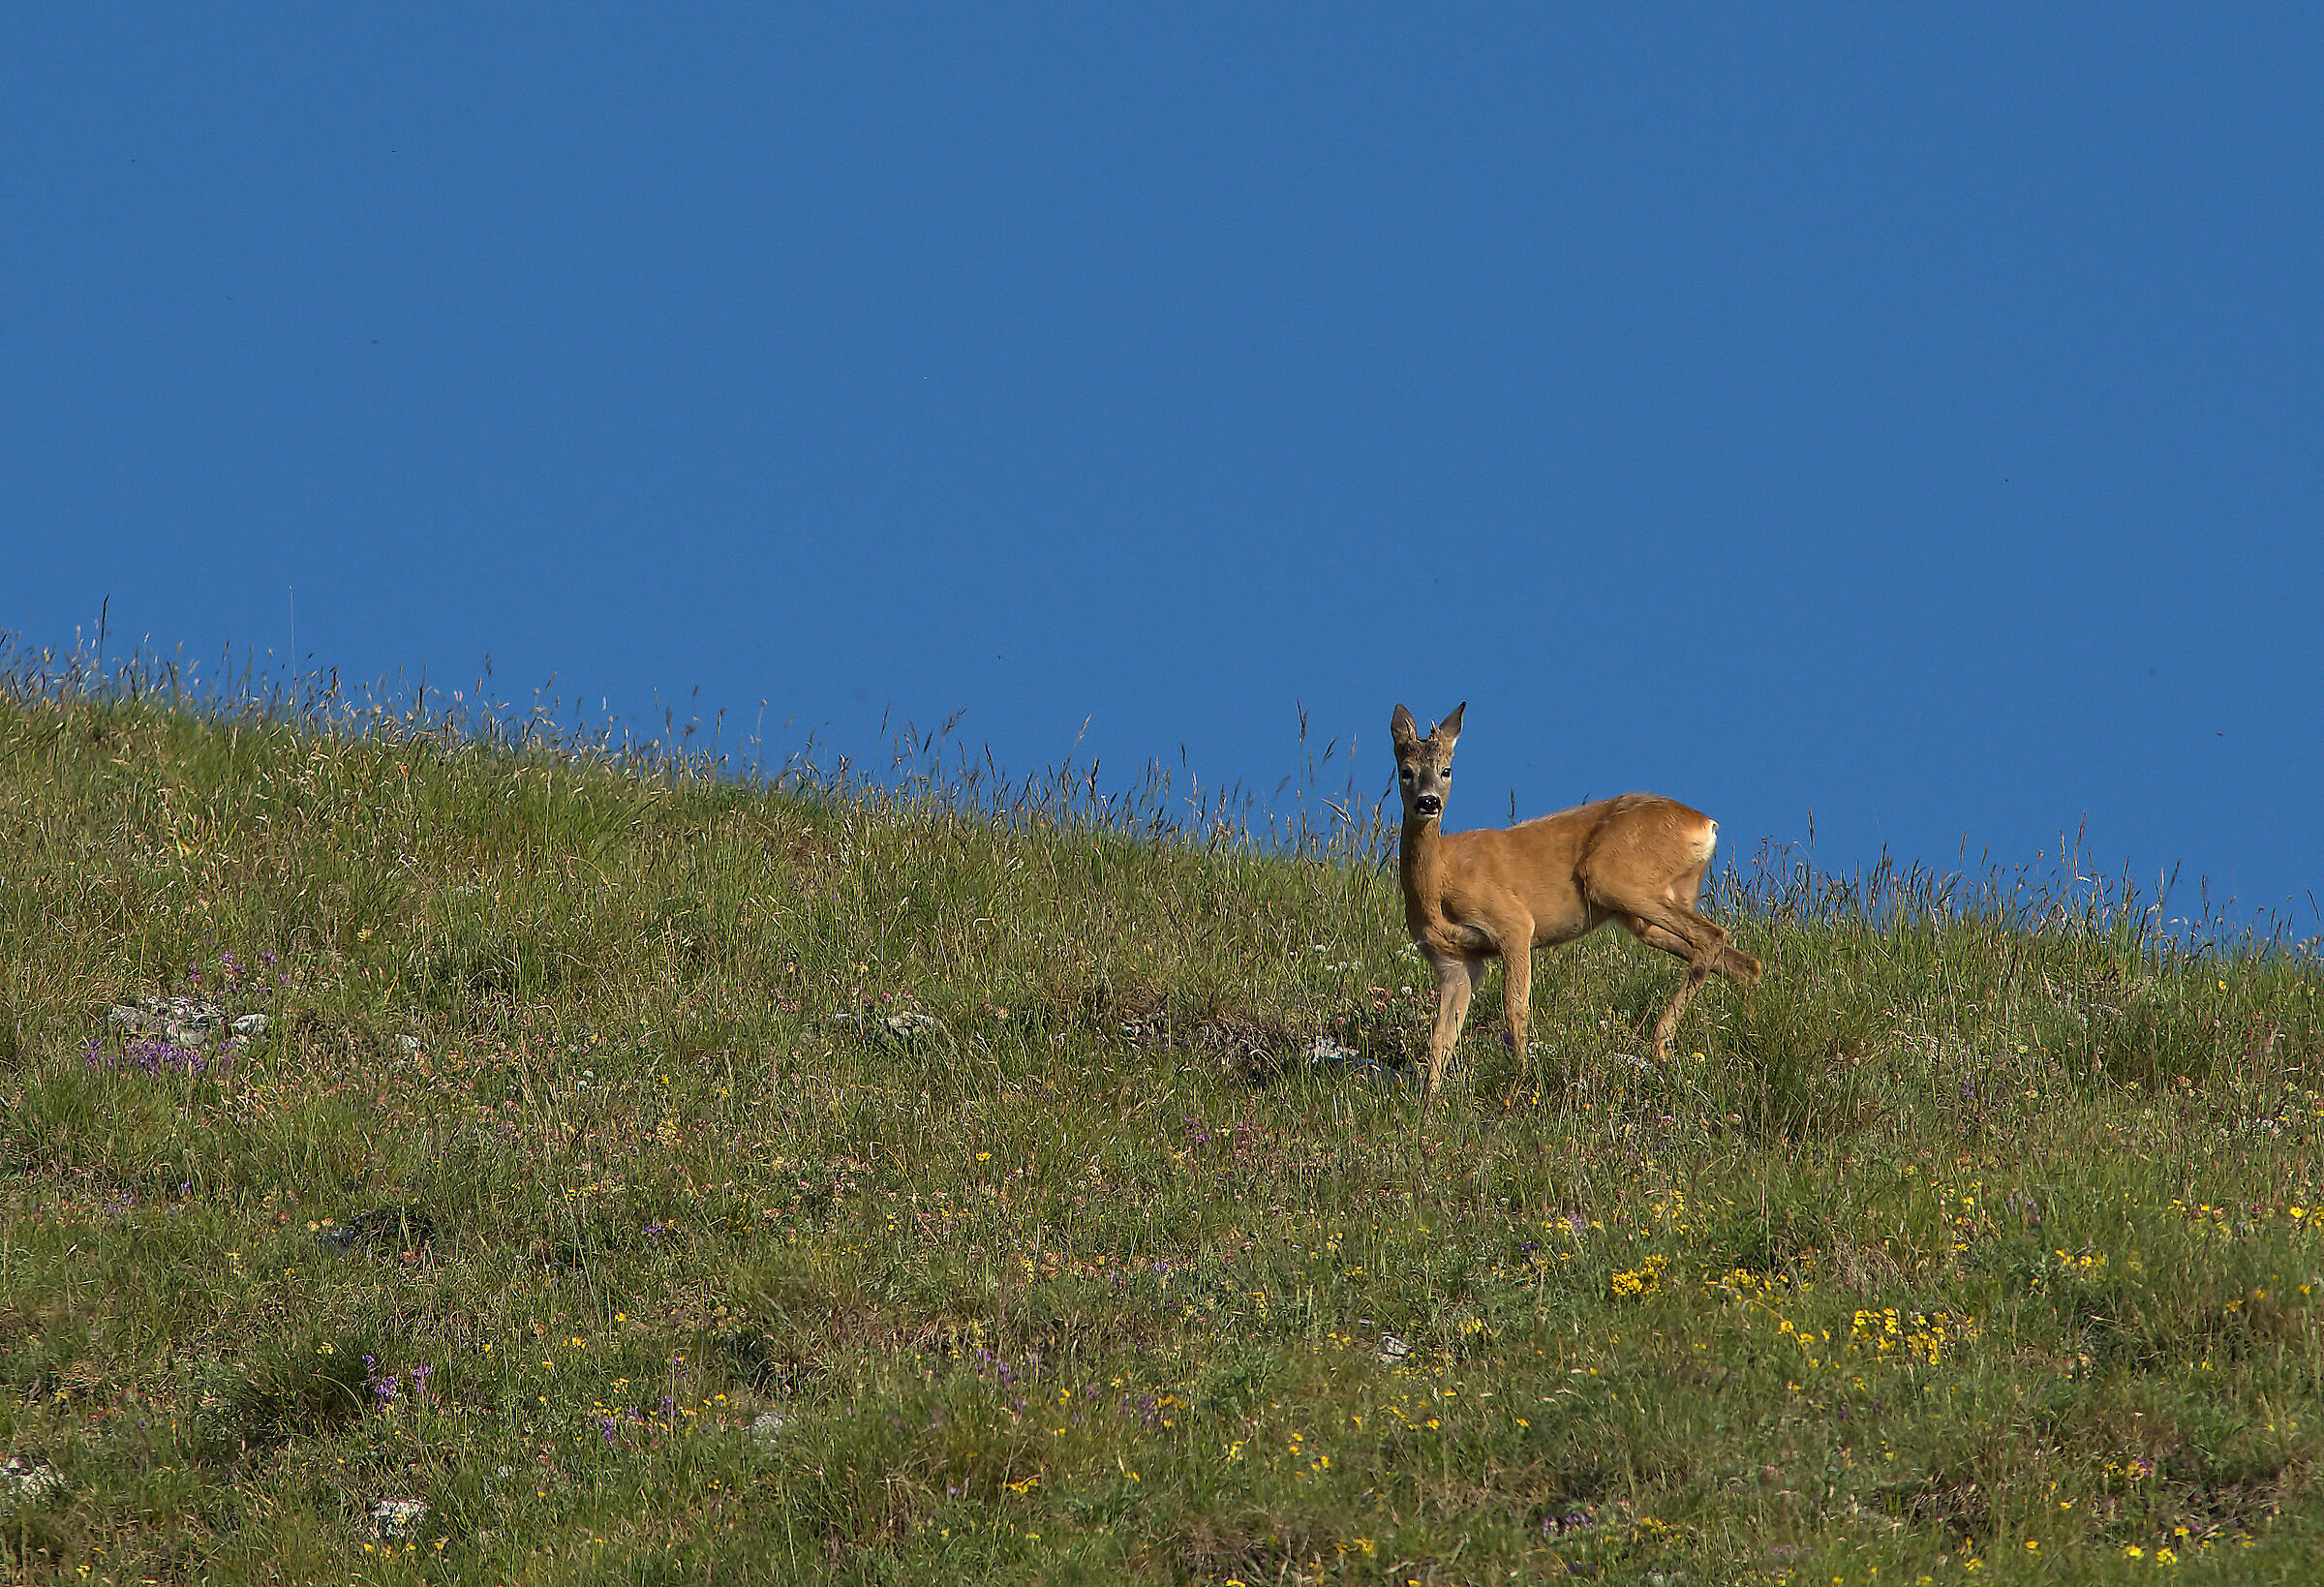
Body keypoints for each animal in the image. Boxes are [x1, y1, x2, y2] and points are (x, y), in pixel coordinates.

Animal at [1390, 702, 1762, 1101]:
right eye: (1406, 771)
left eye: (1447, 770)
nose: (1429, 802)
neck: (1439, 882)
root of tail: (1705, 823)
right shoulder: (1454, 961)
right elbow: (1441, 1037)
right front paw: (1429, 1103)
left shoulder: (1513, 924)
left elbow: (1515, 1009)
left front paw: (1522, 1078)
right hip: (1653, 909)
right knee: (1742, 962)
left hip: (1611, 878)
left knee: (1712, 936)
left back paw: (1660, 1042)